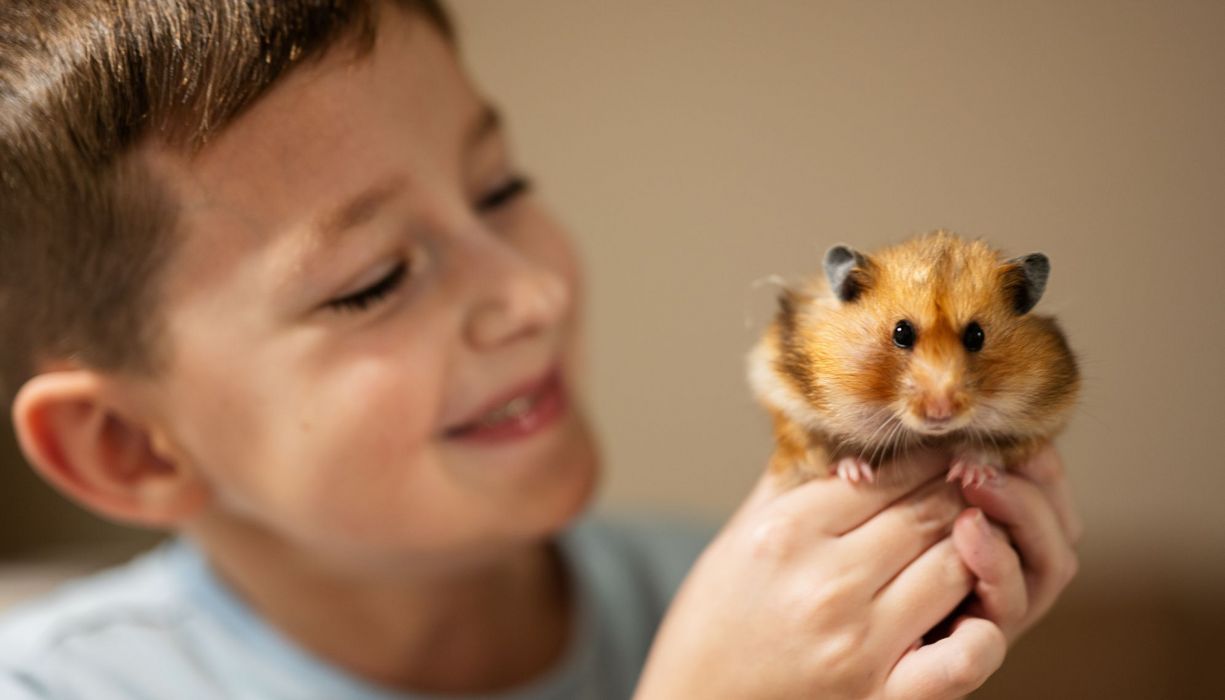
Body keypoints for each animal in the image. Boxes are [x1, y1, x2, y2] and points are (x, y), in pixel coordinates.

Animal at [747, 230, 1079, 486]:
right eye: (902, 333)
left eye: (976, 336)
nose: (940, 414)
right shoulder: (787, 401)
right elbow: (815, 449)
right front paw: (855, 474)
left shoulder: (1042, 422)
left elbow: (997, 450)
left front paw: (967, 473)